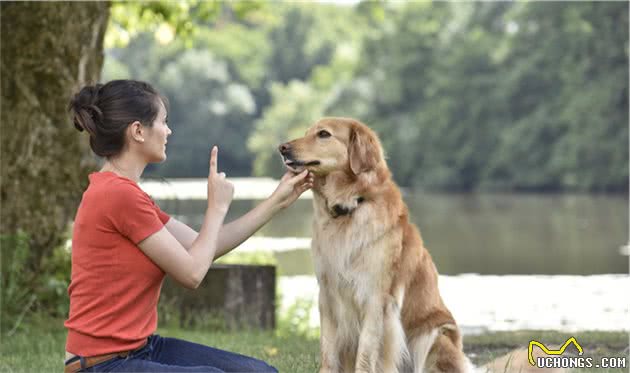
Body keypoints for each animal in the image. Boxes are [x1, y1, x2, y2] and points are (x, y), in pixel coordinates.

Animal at [278, 118, 472, 372]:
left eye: (323, 134)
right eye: (307, 132)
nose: (282, 148)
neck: (350, 207)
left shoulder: (375, 297)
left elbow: (366, 351)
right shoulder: (327, 295)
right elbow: (327, 350)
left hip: (434, 336)